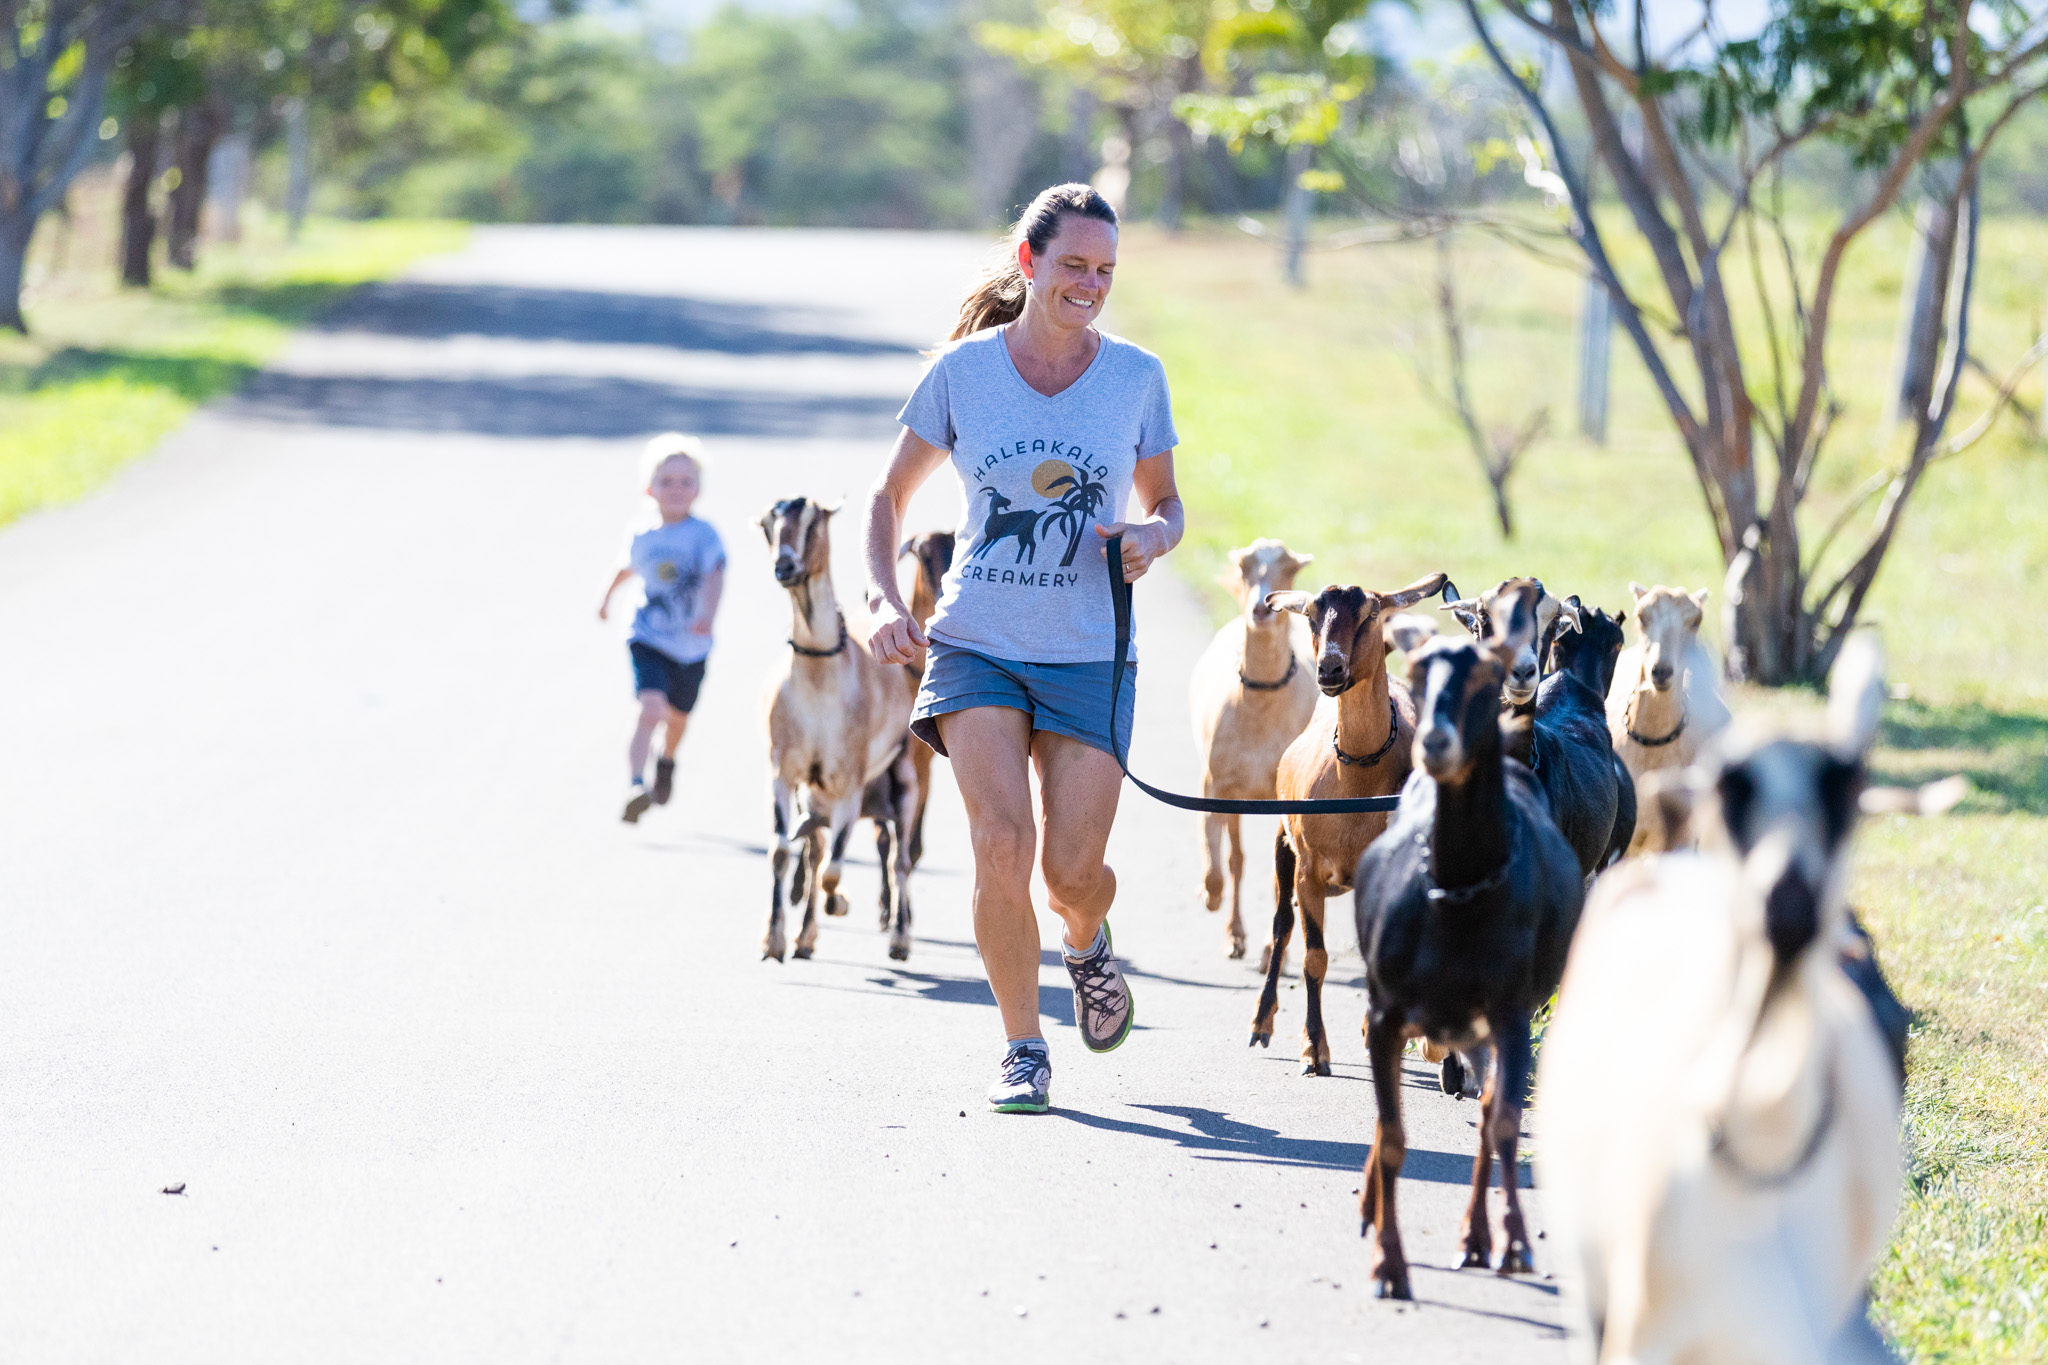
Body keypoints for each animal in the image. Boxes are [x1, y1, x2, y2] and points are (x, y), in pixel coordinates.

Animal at [757, 499, 917, 961]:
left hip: (903, 782)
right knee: (816, 851)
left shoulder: (849, 783)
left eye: (814, 520)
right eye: (767, 524)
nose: (785, 567)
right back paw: (807, 935)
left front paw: (840, 903)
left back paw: (899, 939)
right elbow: (782, 851)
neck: (818, 682)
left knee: (899, 857)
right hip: (816, 795)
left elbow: (835, 870)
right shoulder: (784, 774)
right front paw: (774, 939)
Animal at [1196, 540, 1318, 957]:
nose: (1263, 607)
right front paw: (1210, 897)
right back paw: (1234, 932)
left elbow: (1279, 873)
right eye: (1244, 566)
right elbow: (1221, 857)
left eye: (1290, 568)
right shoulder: (1217, 783)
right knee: (1235, 857)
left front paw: (1270, 949)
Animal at [1236, 573, 1449, 1072]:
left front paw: (1377, 1036)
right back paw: (1261, 1023)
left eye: (1372, 612)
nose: (1330, 670)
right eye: (1312, 615)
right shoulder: (1309, 870)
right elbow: (1314, 958)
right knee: (1281, 926)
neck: (1356, 782)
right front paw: (1314, 1049)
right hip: (1283, 845)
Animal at [1351, 589, 1589, 1301]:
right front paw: (1389, 1264)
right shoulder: (1387, 1014)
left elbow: (1501, 1122)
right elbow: (1392, 1134)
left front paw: (1509, 1242)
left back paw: (1479, 1238)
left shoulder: (1509, 1014)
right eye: (1417, 672)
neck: (1458, 896)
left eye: (1484, 677)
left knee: (1487, 1114)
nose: (1434, 740)